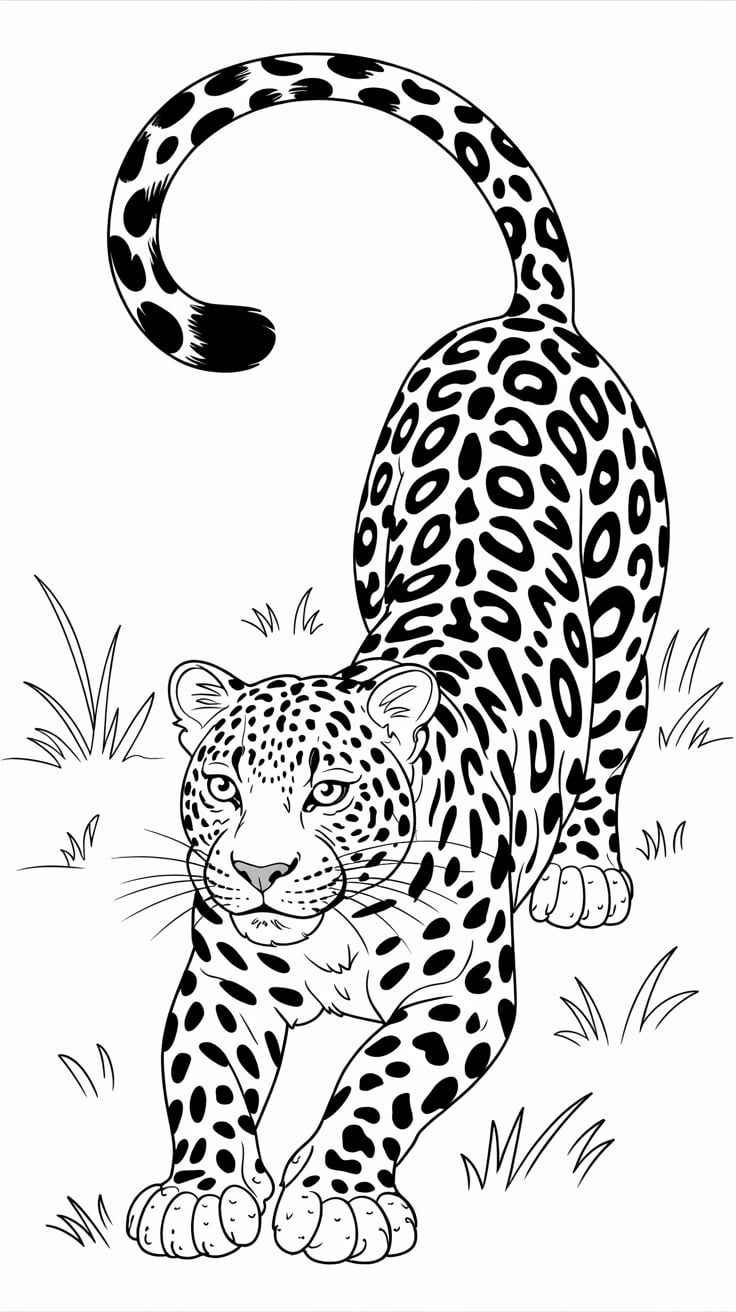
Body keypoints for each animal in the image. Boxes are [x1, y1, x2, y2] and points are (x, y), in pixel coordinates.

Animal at [108, 52, 669, 1263]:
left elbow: (377, 1080)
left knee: (607, 745)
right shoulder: (221, 982)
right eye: (223, 787)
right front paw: (201, 1190)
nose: (260, 870)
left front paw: (335, 1196)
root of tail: (525, 319)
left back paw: (585, 870)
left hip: (626, 621)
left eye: (328, 792)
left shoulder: (461, 996)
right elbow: (205, 1082)